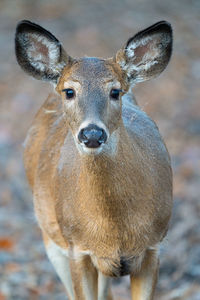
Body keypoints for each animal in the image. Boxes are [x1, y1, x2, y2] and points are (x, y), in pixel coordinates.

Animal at [14, 19, 173, 298]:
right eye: (69, 91)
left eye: (115, 91)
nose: (91, 133)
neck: (113, 230)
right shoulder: (77, 249)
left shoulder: (154, 246)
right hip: (51, 238)